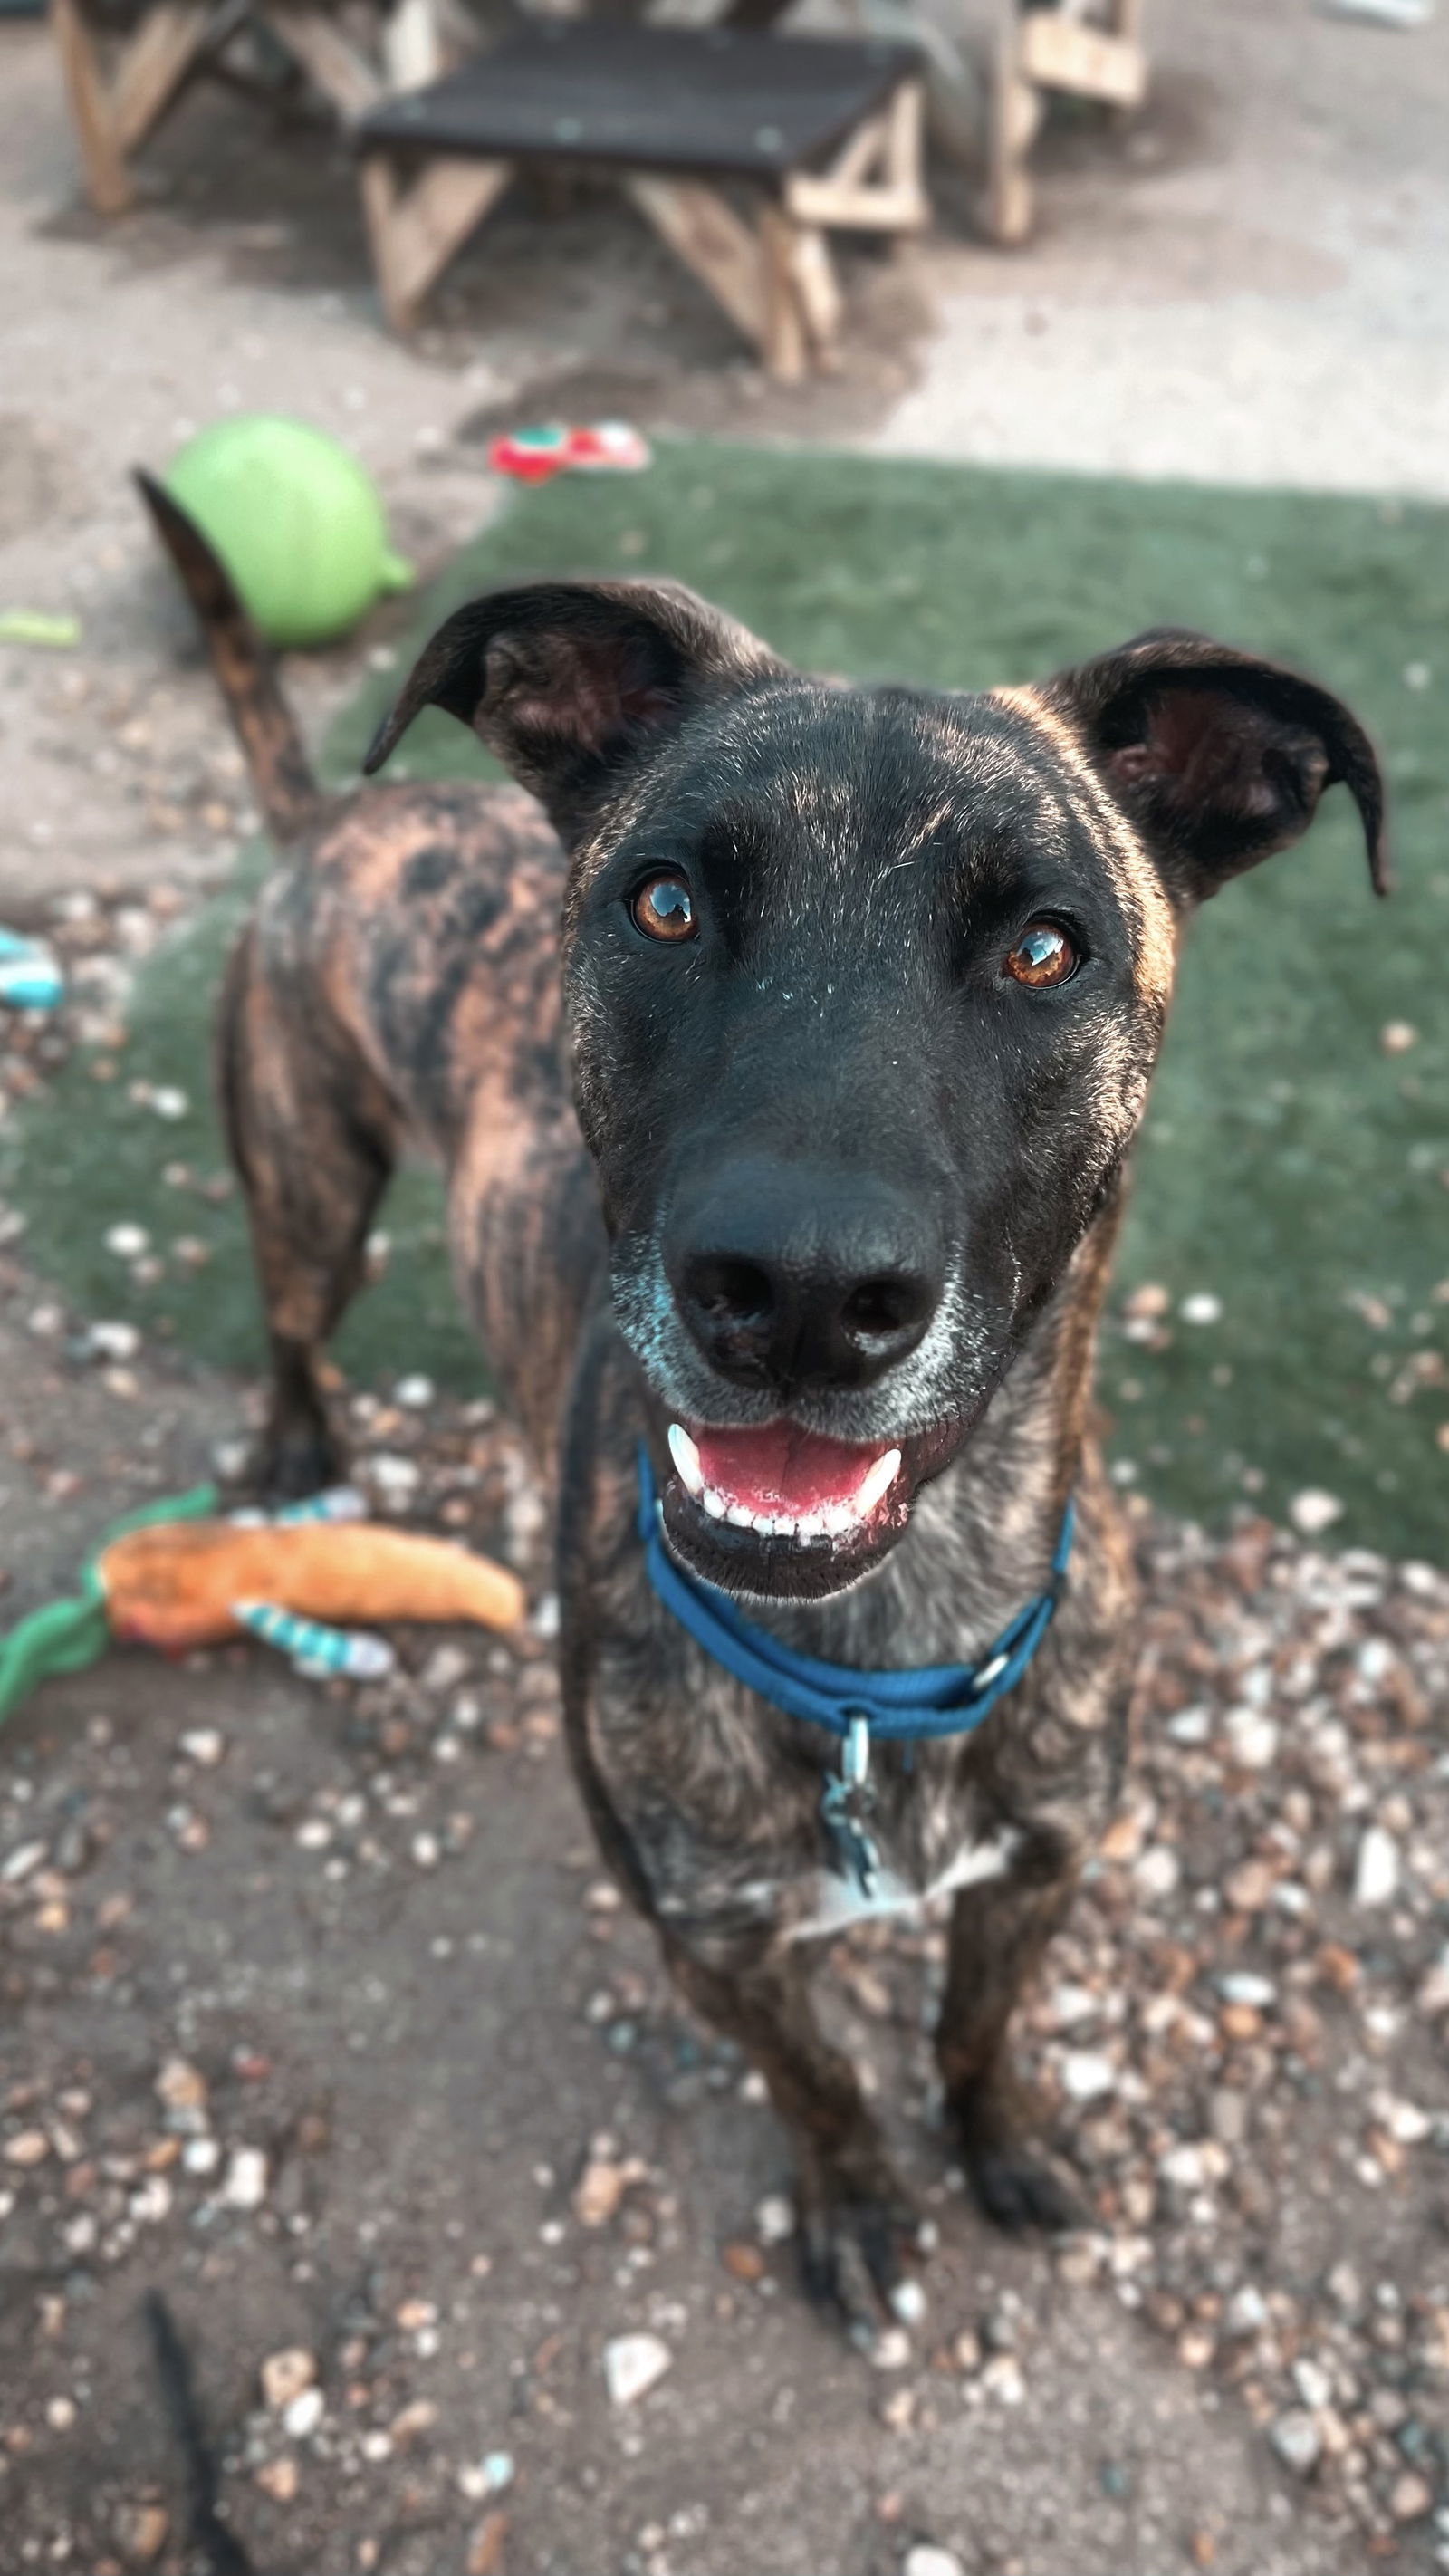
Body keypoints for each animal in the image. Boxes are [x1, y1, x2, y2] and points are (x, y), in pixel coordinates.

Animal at [144, 474, 1379, 2349]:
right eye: (663, 905)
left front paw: (1002, 2138)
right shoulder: (714, 1942)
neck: (884, 1649)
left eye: (1047, 945)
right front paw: (861, 2201)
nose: (797, 1288)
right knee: (292, 1316)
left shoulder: (1042, 1871)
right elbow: (824, 2081)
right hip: (311, 1188)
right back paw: (298, 1445)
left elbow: (973, 2025)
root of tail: (336, 822)